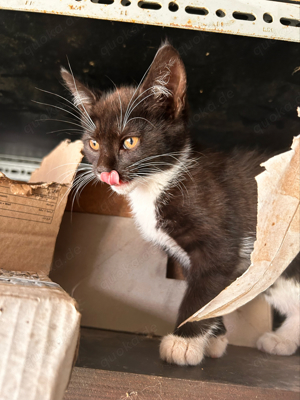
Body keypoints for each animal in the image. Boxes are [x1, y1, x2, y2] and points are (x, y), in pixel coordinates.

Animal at [61, 42, 300, 364]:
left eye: (130, 142)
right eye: (94, 144)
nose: (104, 171)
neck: (161, 182)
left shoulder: (222, 245)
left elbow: (203, 291)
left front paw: (184, 343)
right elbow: (212, 292)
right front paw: (215, 339)